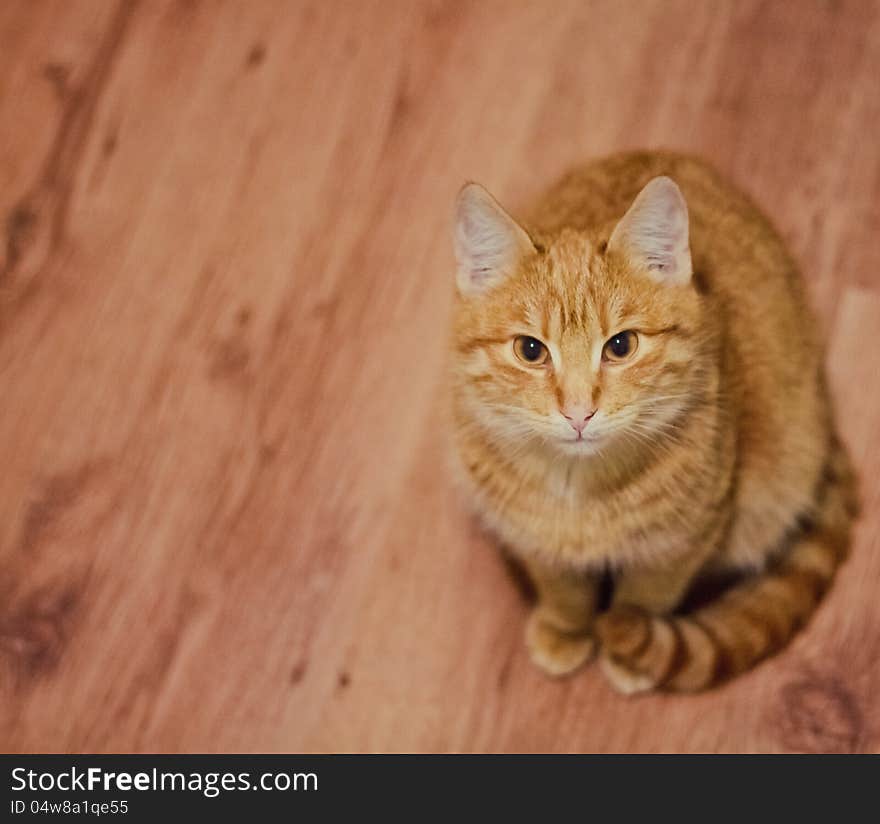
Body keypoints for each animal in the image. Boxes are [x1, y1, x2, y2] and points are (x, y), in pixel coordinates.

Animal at [450, 151, 856, 692]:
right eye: (530, 350)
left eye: (621, 345)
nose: (578, 412)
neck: (580, 489)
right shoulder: (531, 535)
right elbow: (562, 588)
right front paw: (567, 627)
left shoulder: (682, 542)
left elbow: (644, 597)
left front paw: (629, 650)